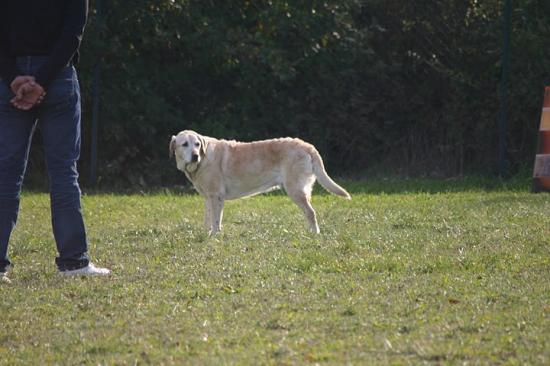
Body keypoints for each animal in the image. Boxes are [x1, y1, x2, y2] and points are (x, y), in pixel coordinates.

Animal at [169, 130, 354, 234]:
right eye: (184, 144)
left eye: (197, 144)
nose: (195, 155)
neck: (203, 160)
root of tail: (307, 146)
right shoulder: (208, 197)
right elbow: (207, 218)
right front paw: (206, 233)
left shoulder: (217, 196)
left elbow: (216, 220)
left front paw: (214, 235)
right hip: (303, 190)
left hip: (295, 189)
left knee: (311, 212)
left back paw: (314, 234)